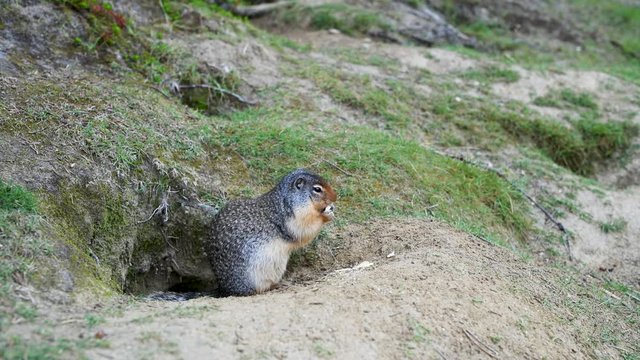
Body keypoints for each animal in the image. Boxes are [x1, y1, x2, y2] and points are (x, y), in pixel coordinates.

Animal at [206, 168, 338, 296]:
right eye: (317, 189)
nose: (335, 197)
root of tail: (225, 289)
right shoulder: (296, 217)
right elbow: (304, 230)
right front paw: (327, 215)